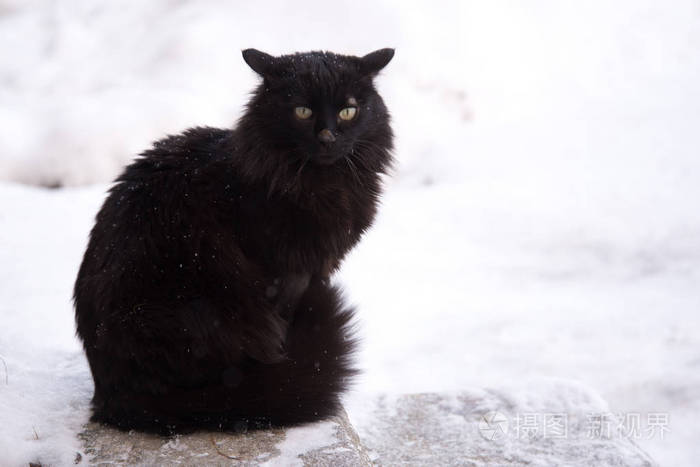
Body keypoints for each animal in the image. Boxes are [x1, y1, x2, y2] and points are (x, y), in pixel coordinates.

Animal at [75, 48, 400, 436]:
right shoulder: (286, 275)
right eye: (302, 111)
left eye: (348, 111)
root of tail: (110, 394)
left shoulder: (316, 268)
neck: (324, 186)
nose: (327, 137)